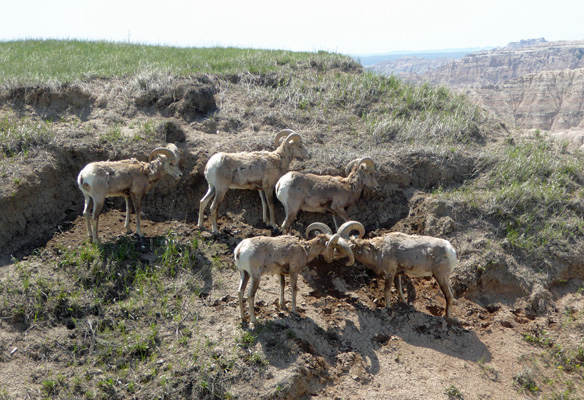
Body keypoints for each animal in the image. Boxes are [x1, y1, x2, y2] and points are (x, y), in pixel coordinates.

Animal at [326, 220, 458, 318]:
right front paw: (403, 304)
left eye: (339, 248)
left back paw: (446, 317)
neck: (377, 250)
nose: (332, 255)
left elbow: (387, 290)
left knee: (449, 296)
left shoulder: (389, 273)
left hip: (440, 277)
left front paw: (387, 307)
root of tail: (451, 250)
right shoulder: (397, 274)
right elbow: (399, 289)